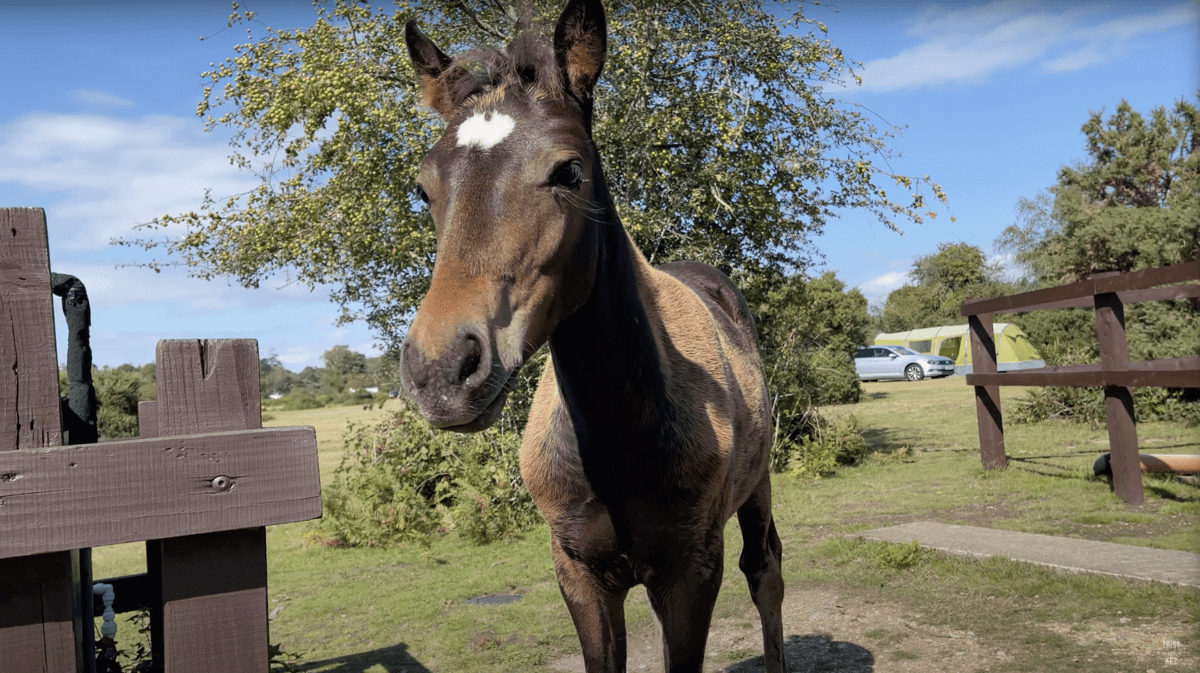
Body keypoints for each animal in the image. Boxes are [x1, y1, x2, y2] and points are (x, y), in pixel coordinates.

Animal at [398, 2, 782, 667]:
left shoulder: (691, 574)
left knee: (765, 572)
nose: (440, 372)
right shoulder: (578, 572)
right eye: (424, 188)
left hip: (756, 489)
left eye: (569, 169)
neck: (619, 437)